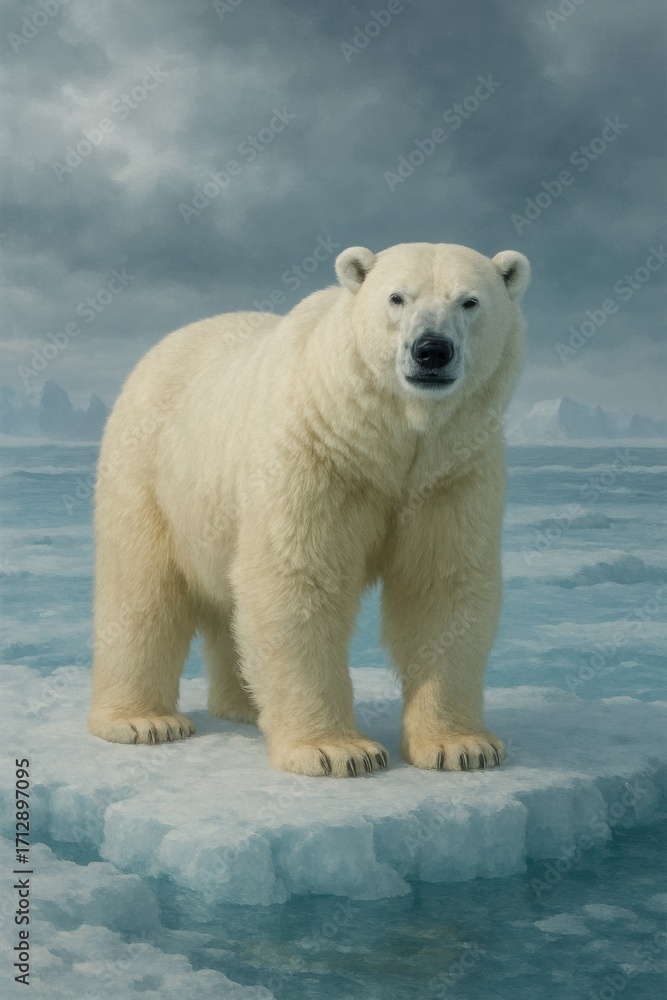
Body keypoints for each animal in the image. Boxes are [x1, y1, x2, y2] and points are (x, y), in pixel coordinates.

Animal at [89, 241, 530, 777]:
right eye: (397, 297)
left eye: (469, 301)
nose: (431, 350)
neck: (385, 438)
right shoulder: (315, 455)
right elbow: (298, 579)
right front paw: (338, 751)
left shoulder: (451, 470)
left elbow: (441, 583)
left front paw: (463, 747)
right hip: (151, 471)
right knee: (143, 589)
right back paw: (142, 721)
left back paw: (245, 705)